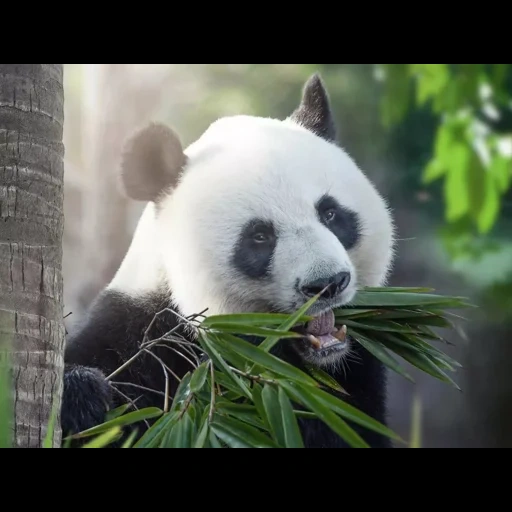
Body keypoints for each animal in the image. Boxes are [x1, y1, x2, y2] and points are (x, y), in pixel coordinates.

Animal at [61, 73, 396, 448]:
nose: (326, 283)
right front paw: (80, 396)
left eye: (331, 213)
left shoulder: (353, 374)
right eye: (260, 236)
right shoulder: (139, 335)